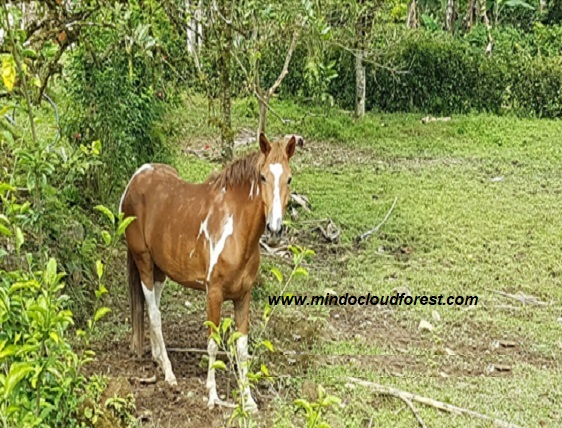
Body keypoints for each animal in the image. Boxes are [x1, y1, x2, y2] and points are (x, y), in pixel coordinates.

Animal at [117, 134, 294, 412]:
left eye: (289, 179)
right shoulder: (214, 294)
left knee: (152, 305)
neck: (236, 230)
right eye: (263, 177)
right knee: (155, 314)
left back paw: (159, 359)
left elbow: (242, 347)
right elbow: (212, 344)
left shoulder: (243, 296)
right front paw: (212, 396)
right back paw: (169, 374)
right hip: (143, 261)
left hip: (160, 269)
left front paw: (248, 400)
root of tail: (136, 179)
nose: (275, 228)